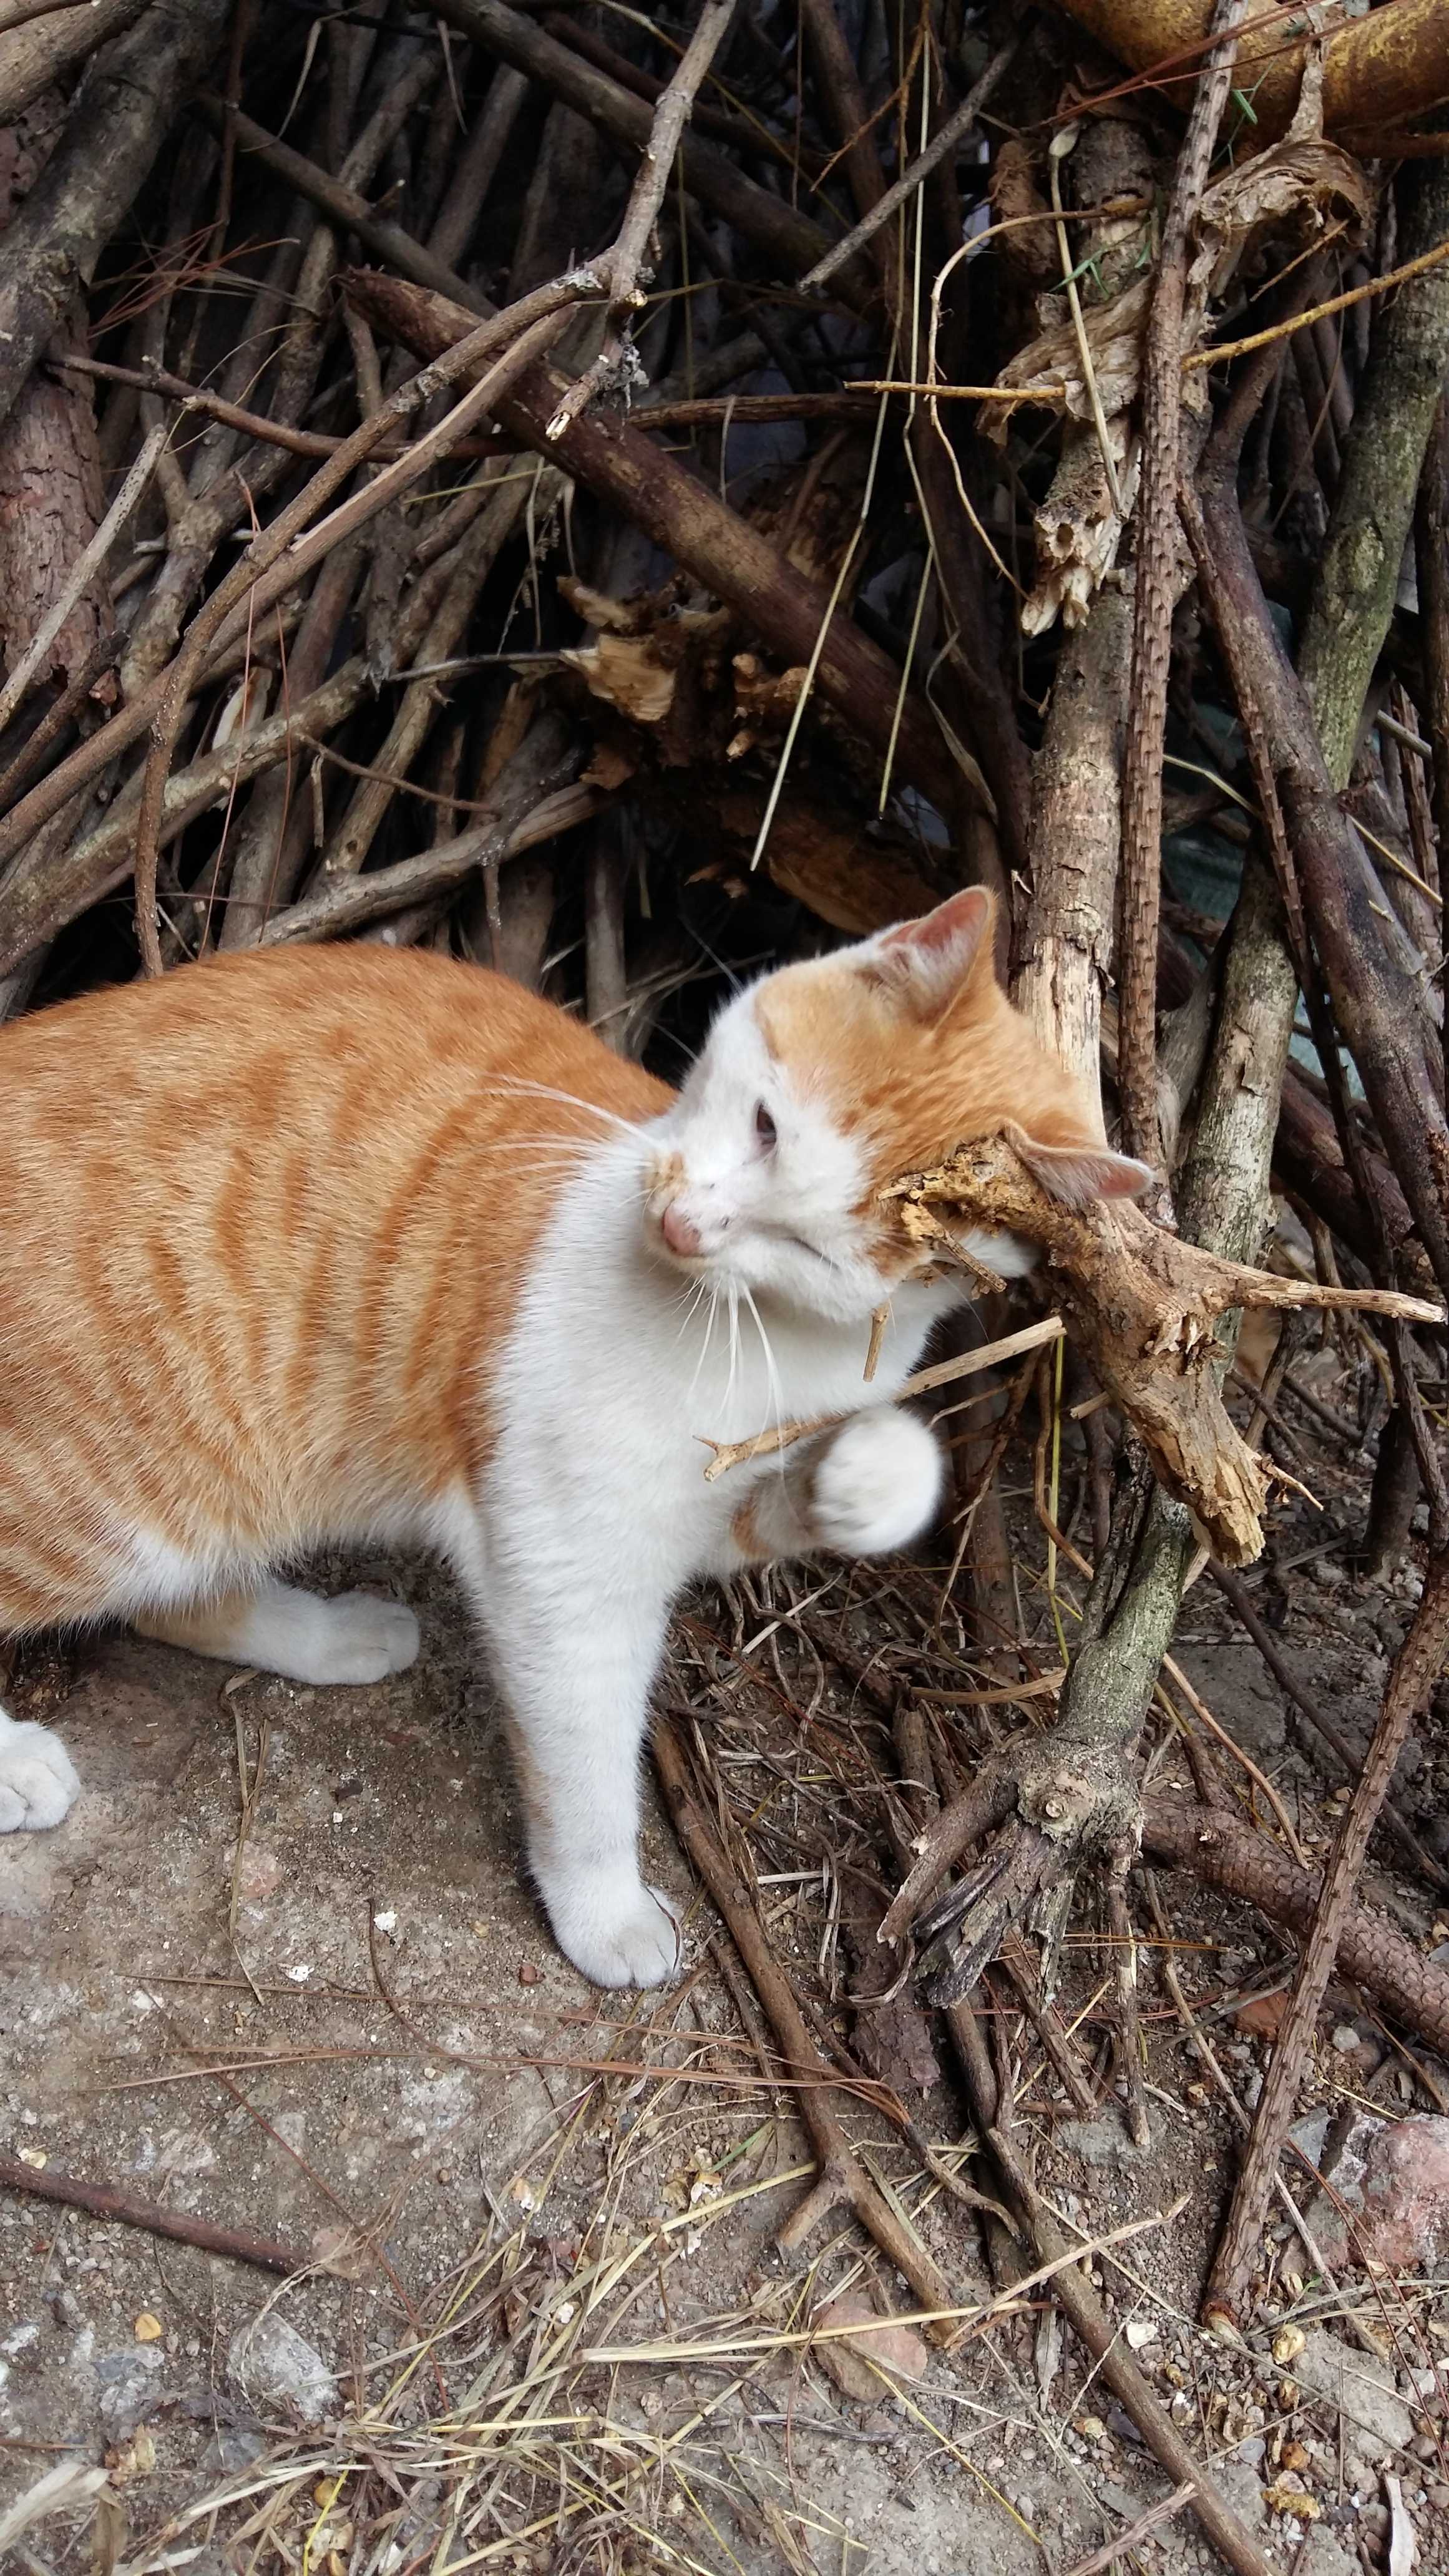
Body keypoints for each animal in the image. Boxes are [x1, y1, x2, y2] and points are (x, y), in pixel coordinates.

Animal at [0, 891, 1144, 1988]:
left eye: (815, 1247)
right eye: (766, 1124)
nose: (685, 1225)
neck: (752, 1330)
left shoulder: (721, 1500)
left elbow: (856, 1477)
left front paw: (870, 1479)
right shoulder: (566, 1574)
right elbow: (587, 1774)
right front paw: (605, 1910)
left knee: (180, 1601)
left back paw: (334, 1634)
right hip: (111, 1500)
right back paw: (20, 1766)